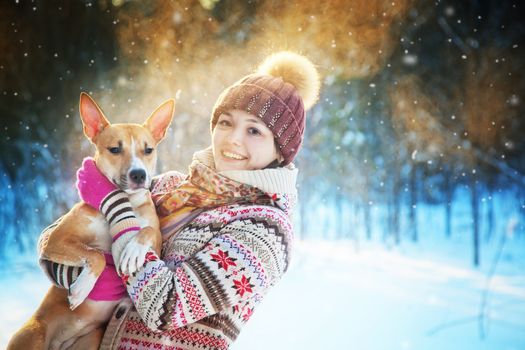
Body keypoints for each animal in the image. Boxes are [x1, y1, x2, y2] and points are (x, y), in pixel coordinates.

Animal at [7, 93, 174, 350]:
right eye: (114, 149)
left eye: (148, 150)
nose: (139, 174)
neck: (124, 201)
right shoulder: (56, 240)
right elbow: (95, 255)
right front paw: (81, 288)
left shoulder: (156, 240)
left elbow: (146, 231)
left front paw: (132, 250)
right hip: (32, 334)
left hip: (91, 339)